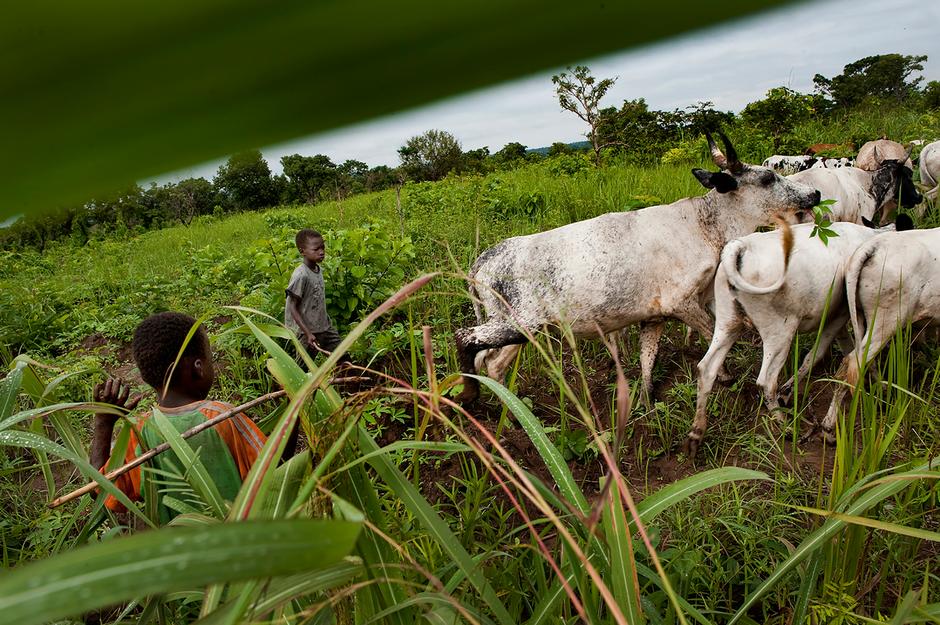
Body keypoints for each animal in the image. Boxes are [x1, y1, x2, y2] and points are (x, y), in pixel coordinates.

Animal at [452, 132, 820, 404]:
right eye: (769, 177)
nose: (814, 193)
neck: (705, 224)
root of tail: (484, 260)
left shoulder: (654, 315)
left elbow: (647, 361)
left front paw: (645, 401)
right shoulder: (682, 303)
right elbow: (715, 335)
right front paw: (727, 376)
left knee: (490, 363)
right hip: (519, 324)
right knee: (472, 345)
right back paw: (489, 403)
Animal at [688, 214, 916, 454]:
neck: (873, 236)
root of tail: (741, 247)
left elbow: (846, 350)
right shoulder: (839, 315)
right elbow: (820, 354)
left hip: (727, 324)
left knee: (706, 369)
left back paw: (696, 432)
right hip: (780, 333)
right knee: (766, 381)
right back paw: (785, 426)